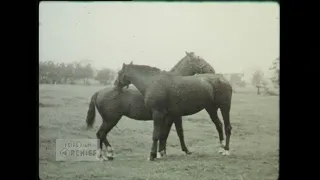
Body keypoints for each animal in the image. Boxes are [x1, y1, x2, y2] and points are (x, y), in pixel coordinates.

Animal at [85, 51, 216, 160]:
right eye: (199, 60)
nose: (212, 70)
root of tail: (98, 92)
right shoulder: (172, 116)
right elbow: (173, 133)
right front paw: (170, 152)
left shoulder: (167, 117)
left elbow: (164, 134)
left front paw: (162, 152)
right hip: (111, 120)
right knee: (101, 134)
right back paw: (105, 154)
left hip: (110, 120)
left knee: (101, 134)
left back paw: (108, 154)